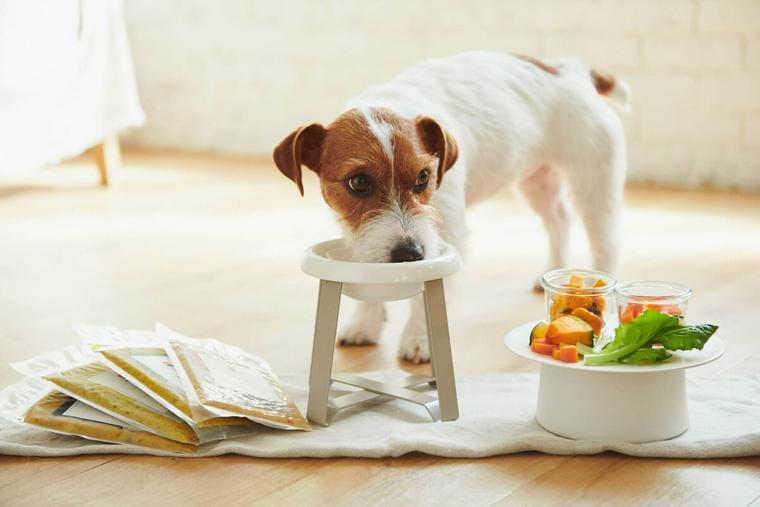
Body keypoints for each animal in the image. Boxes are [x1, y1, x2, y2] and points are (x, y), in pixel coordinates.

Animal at [274, 51, 628, 366]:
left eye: (423, 176)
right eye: (358, 182)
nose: (410, 254)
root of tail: (575, 71)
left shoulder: (448, 235)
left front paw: (419, 339)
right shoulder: (358, 235)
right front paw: (365, 323)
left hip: (594, 183)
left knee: (606, 242)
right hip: (537, 179)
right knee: (559, 219)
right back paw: (553, 274)